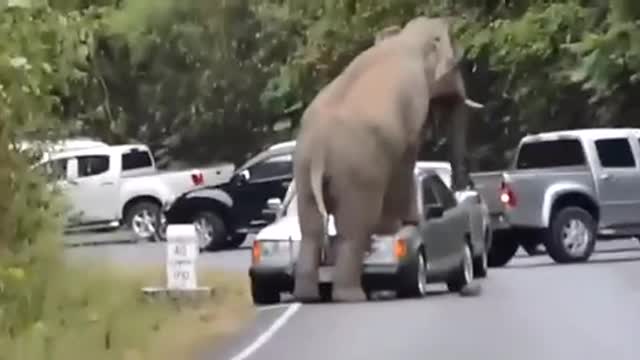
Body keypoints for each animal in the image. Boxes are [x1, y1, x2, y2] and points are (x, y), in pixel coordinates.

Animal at [292, 16, 482, 304]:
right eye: (455, 65)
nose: (463, 186)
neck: (406, 37)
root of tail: (319, 151)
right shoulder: (413, 105)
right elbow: (409, 154)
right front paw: (406, 222)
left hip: (303, 172)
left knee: (311, 230)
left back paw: (307, 297)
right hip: (358, 175)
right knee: (353, 230)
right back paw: (352, 296)